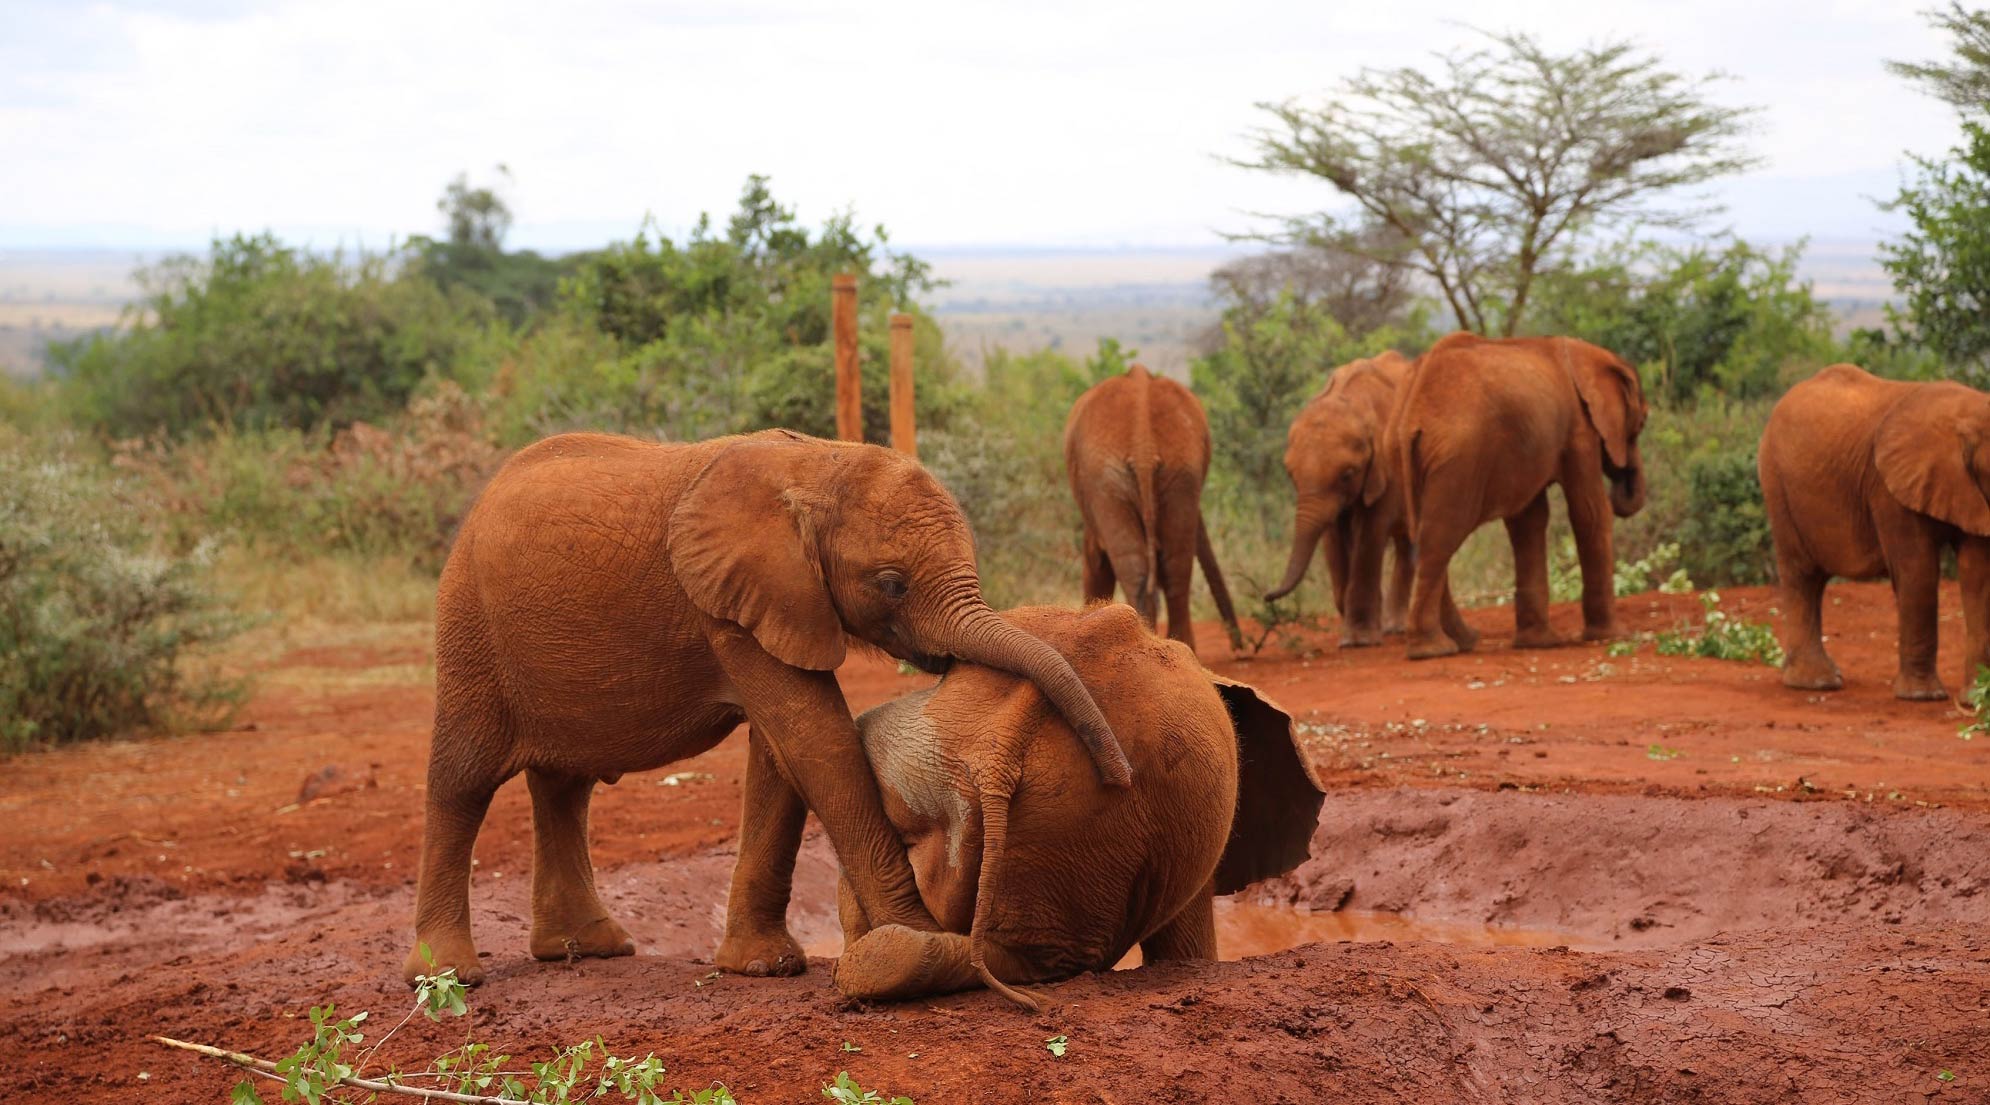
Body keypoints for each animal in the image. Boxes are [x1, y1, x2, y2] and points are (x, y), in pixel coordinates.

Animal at [404, 429, 1129, 986]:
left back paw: (587, 950)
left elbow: (782, 755)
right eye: (891, 584)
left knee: (563, 786)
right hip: (470, 625)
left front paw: (765, 967)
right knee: (463, 780)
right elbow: (814, 738)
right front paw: (924, 942)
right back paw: (448, 976)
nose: (1121, 777)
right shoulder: (730, 604)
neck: (816, 464)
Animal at [1064, 364, 1243, 653]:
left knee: (1137, 568)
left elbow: (1097, 562)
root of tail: (1143, 445)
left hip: (1107, 477)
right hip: (1179, 470)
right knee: (1175, 565)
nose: (1239, 648)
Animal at [1264, 351, 1465, 647]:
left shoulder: (1386, 468)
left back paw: (1398, 628)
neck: (1353, 403)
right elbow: (1333, 537)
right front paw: (1355, 630)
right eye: (1290, 474)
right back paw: (1392, 627)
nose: (1267, 596)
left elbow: (1370, 533)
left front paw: (1359, 640)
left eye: (1348, 474)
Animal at [1390, 333, 1649, 659]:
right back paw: (1433, 650)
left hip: (1399, 455)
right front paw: (1614, 636)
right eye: (1642, 423)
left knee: (1423, 536)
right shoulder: (1579, 429)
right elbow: (1590, 512)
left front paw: (1539, 643)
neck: (1590, 354)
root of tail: (1414, 410)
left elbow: (1529, 522)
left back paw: (1463, 641)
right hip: (1458, 459)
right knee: (1439, 539)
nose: (1622, 480)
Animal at [1759, 364, 1990, 701]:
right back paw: (1816, 684)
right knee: (1802, 574)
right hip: (1777, 482)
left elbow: (1977, 577)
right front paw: (1923, 697)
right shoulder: (1887, 489)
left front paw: (1976, 700)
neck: (1967, 414)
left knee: (1813, 580)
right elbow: (1917, 571)